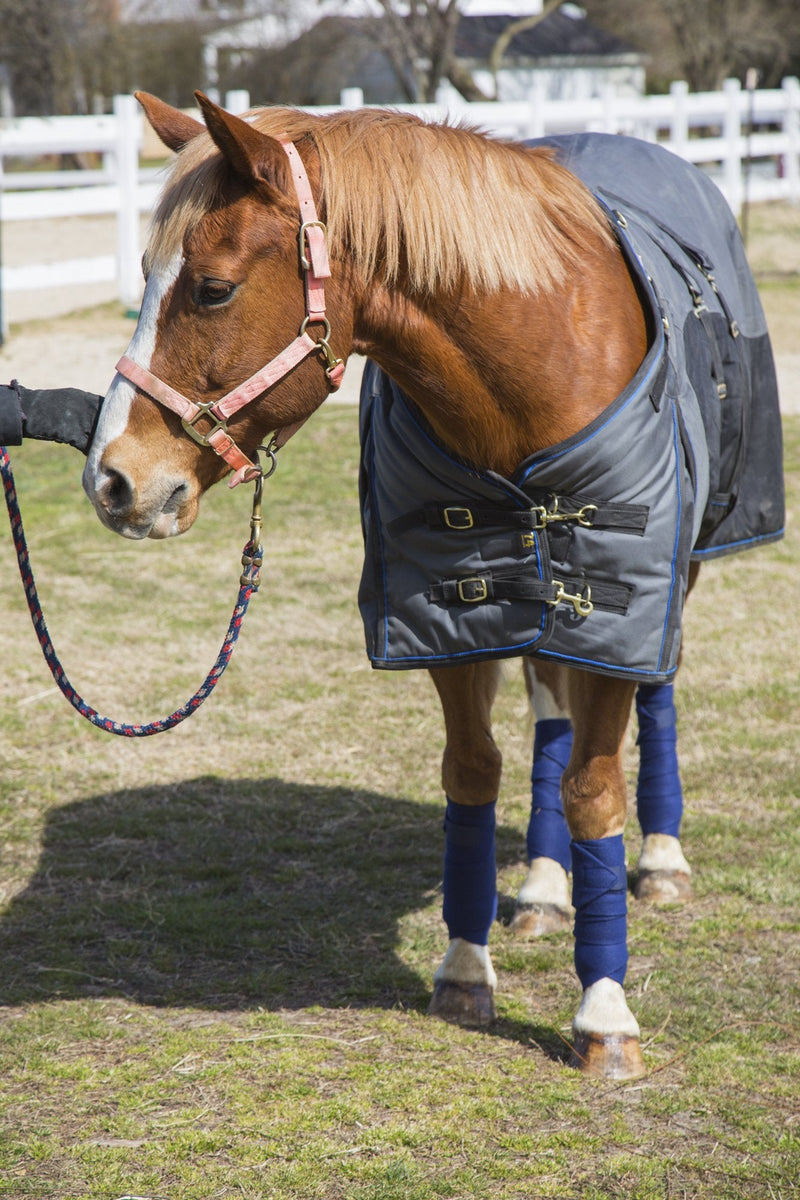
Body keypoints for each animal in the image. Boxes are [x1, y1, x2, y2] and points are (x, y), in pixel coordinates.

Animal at [82, 93, 783, 1080]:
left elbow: (595, 789)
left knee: (658, 699)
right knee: (547, 715)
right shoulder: (452, 612)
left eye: (212, 289)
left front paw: (605, 1012)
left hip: (666, 583)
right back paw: (542, 887)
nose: (111, 480)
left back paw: (660, 861)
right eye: (145, 277)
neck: (538, 368)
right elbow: (475, 772)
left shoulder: (618, 608)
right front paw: (465, 965)